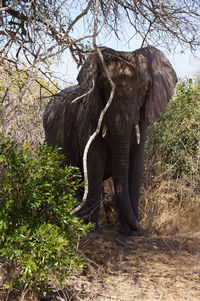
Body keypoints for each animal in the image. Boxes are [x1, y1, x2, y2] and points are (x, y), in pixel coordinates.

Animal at [42, 46, 177, 234]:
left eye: (144, 89)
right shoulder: (89, 115)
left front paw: (130, 233)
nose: (142, 229)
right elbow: (95, 162)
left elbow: (136, 165)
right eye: (104, 87)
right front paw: (92, 229)